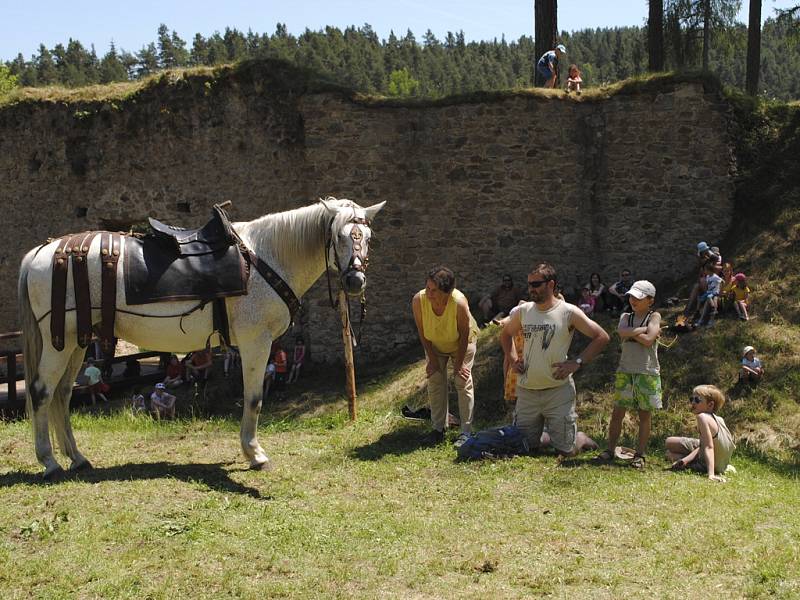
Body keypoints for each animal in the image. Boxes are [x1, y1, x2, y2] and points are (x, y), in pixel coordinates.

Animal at [15, 197, 384, 478]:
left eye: (367, 237)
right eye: (338, 236)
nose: (355, 281)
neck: (267, 257)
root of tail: (41, 253)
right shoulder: (256, 342)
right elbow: (253, 398)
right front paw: (254, 453)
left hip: (76, 342)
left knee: (62, 394)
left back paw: (76, 458)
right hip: (58, 342)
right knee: (42, 392)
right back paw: (49, 461)